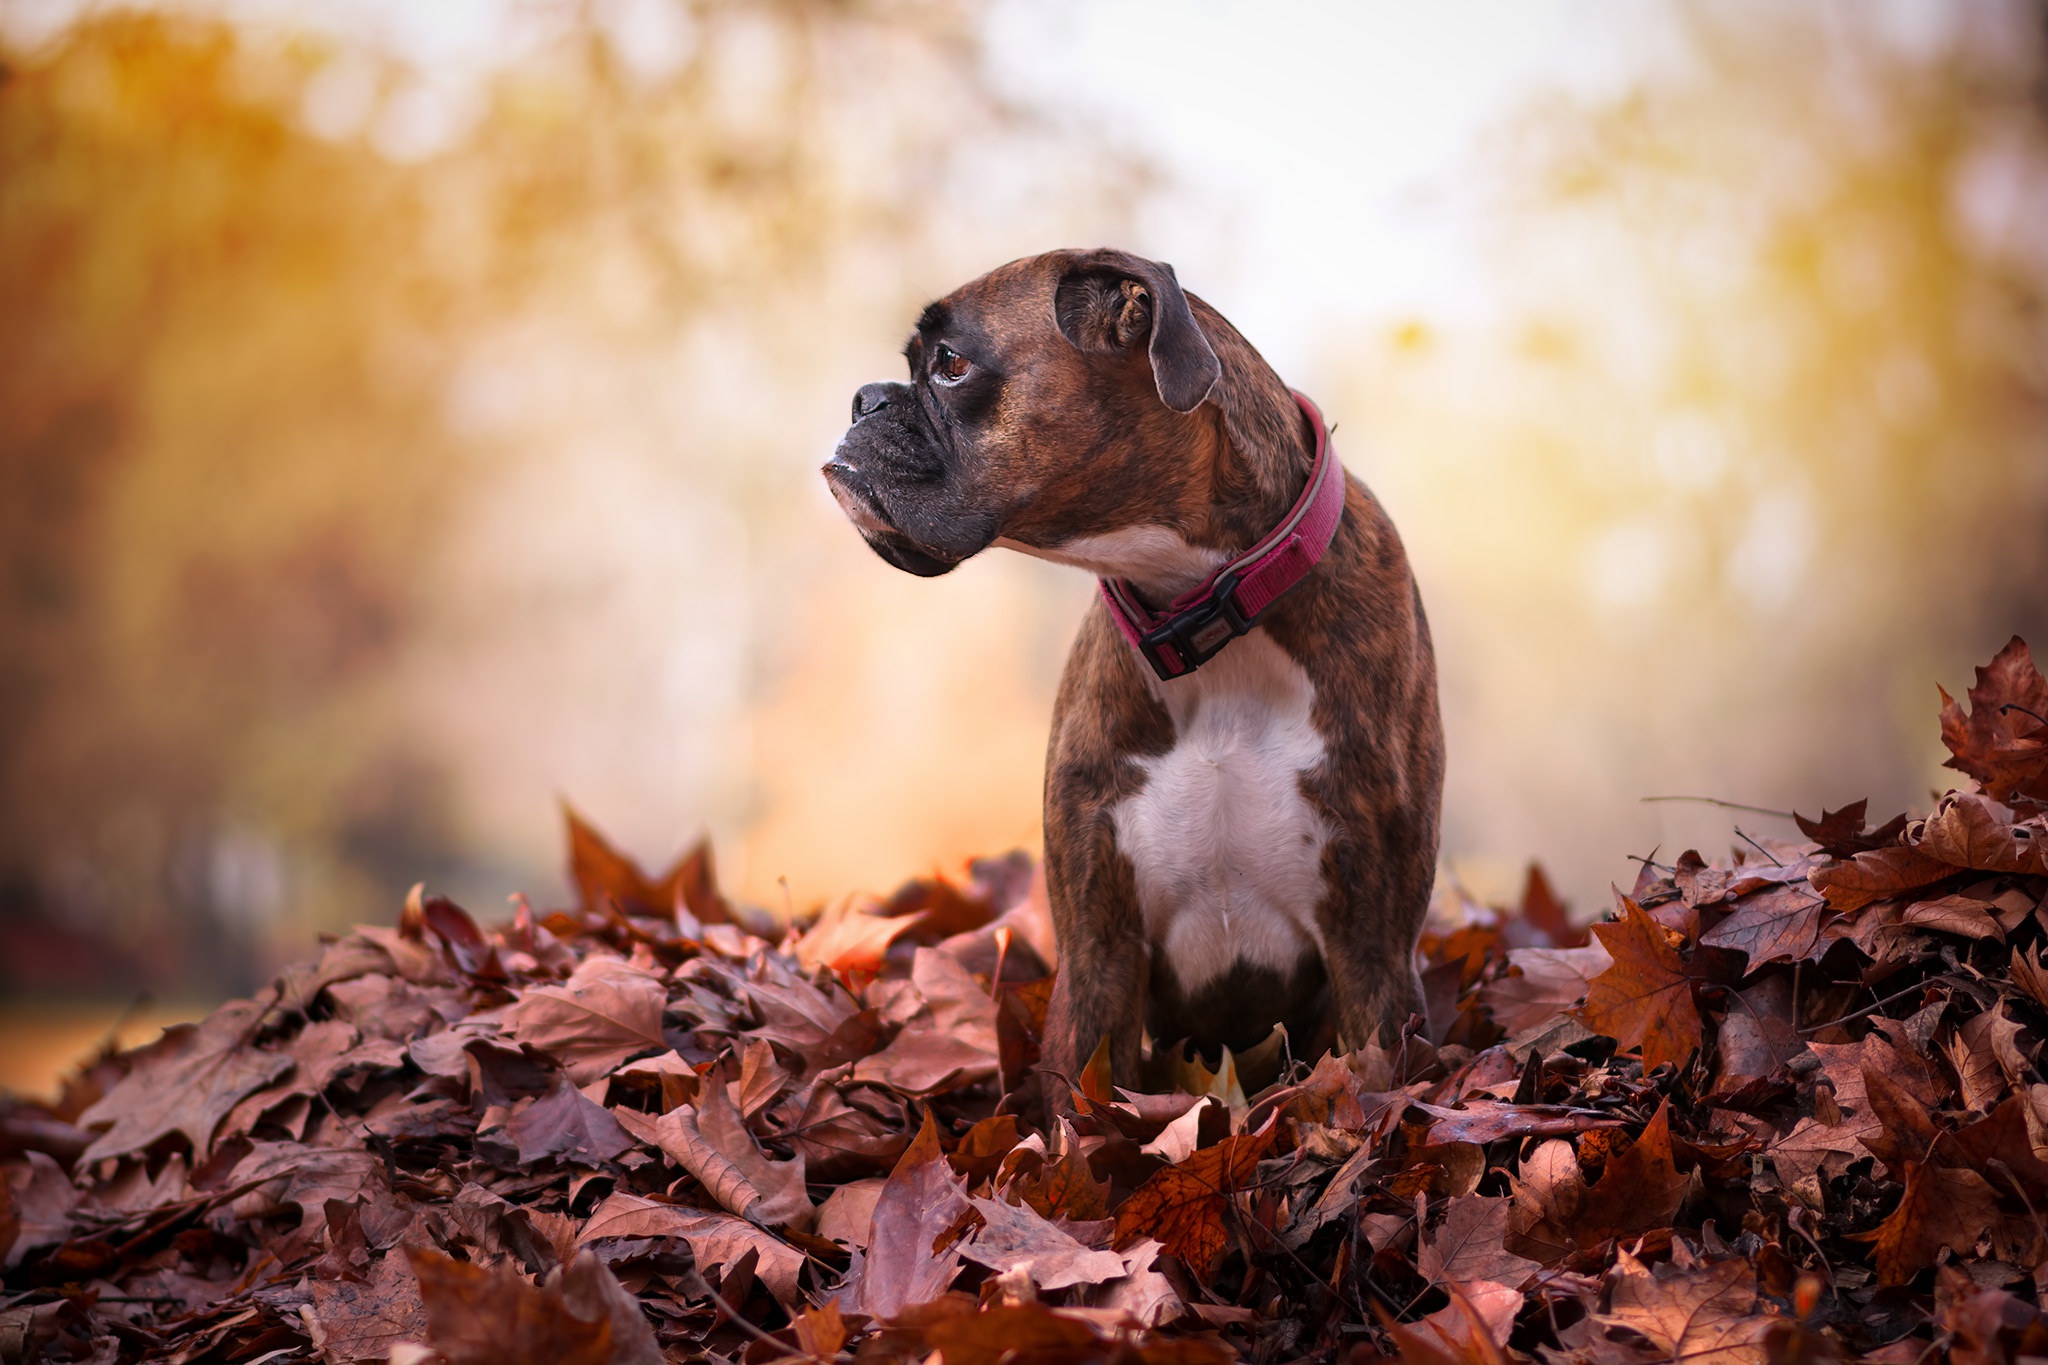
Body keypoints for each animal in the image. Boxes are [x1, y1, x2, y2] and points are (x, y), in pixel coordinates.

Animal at [823, 248, 1449, 1096]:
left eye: (950, 364)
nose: (864, 398)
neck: (1204, 611)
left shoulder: (1373, 955)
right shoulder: (1099, 949)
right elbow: (1073, 1109)